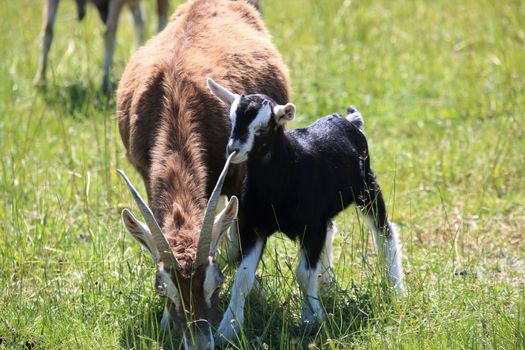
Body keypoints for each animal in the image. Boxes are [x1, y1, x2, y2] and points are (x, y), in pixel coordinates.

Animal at [33, 0, 169, 91]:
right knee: (140, 21)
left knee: (160, 16)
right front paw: (40, 80)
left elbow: (109, 33)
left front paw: (105, 82)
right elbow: (47, 31)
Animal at [115, 0, 286, 348]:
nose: (199, 342)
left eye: (215, 283)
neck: (177, 98)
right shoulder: (146, 174)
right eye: (162, 289)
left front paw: (233, 322)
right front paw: (166, 323)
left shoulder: (236, 175)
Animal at [207, 78, 404, 340]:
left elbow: (303, 274)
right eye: (232, 120)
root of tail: (349, 121)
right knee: (331, 230)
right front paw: (227, 329)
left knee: (385, 232)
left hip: (368, 189)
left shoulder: (310, 228)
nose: (233, 150)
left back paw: (397, 290)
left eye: (263, 128)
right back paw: (328, 284)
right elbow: (243, 277)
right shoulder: (255, 228)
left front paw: (312, 319)